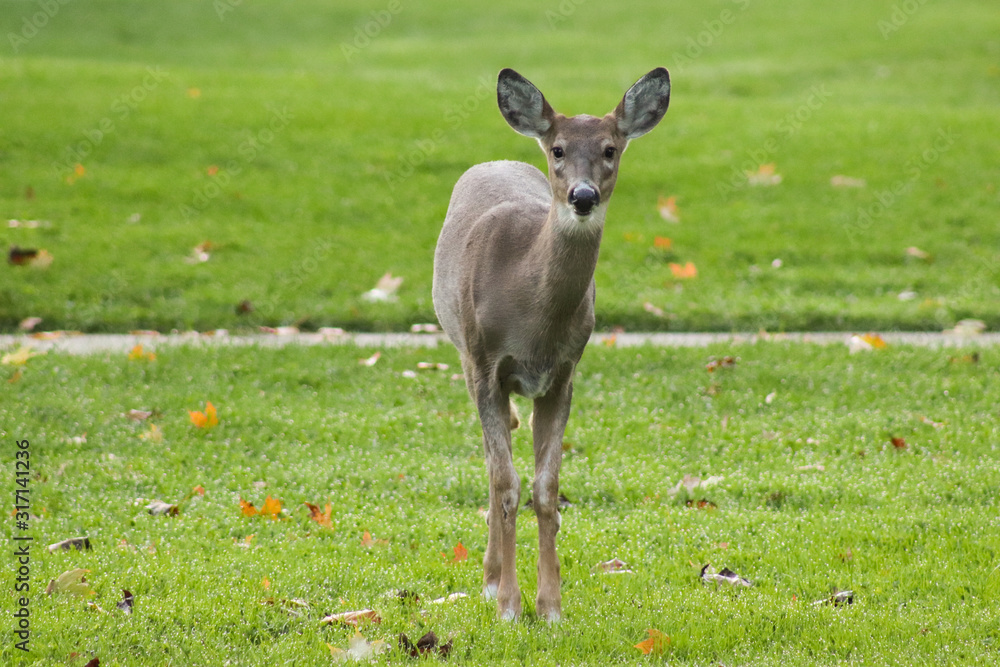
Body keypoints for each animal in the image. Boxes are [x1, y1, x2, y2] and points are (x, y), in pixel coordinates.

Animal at [431, 67, 670, 621]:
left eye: (610, 148)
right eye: (558, 149)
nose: (583, 196)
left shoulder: (562, 374)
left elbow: (545, 489)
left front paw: (550, 606)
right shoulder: (485, 364)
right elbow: (506, 484)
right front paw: (508, 605)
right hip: (464, 354)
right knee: (491, 467)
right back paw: (489, 581)